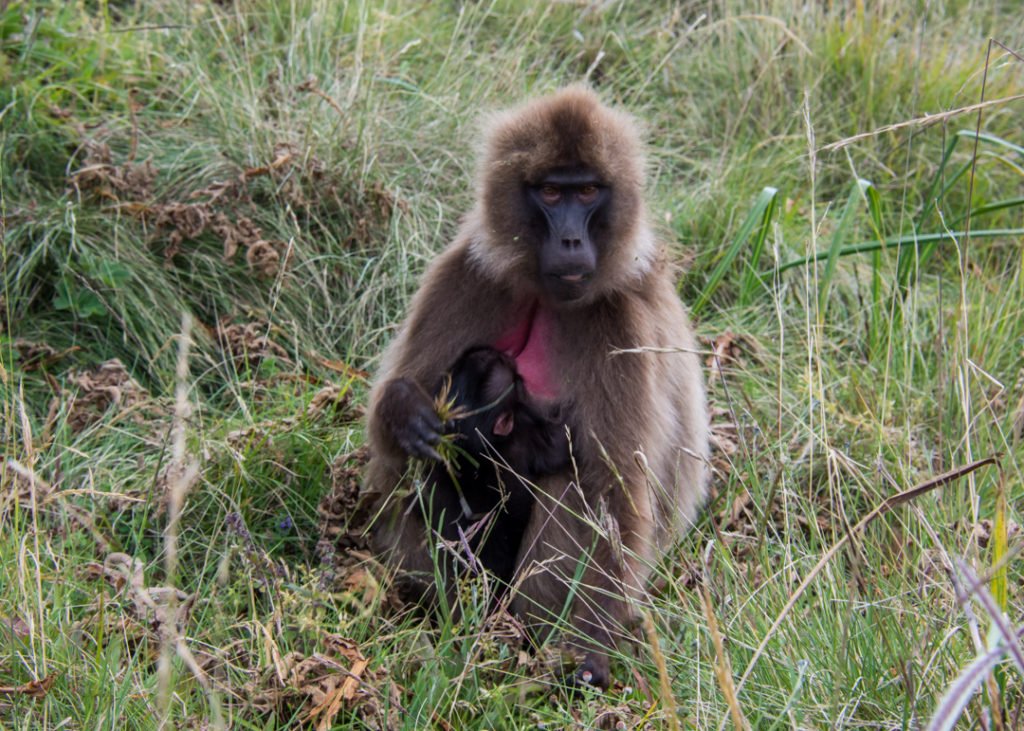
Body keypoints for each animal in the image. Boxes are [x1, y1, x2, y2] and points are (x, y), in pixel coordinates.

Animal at [364, 87, 708, 688]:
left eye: (588, 190)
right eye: (550, 191)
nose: (570, 239)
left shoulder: (618, 324)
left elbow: (609, 496)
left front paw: (587, 658)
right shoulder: (468, 275)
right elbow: (395, 451)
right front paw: (404, 412)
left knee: (572, 489)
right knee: (428, 474)